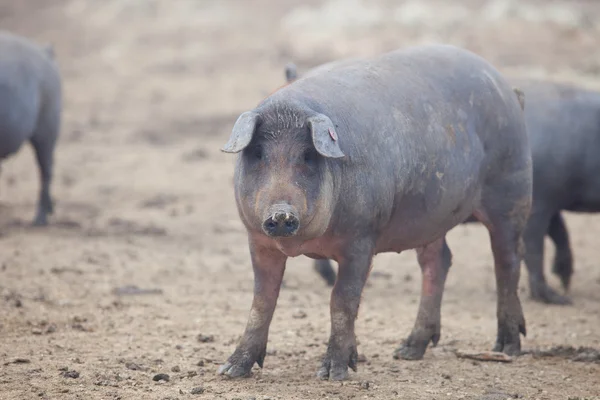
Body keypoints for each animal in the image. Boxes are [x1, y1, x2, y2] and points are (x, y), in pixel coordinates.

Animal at [218, 44, 532, 382]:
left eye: (307, 155)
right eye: (258, 153)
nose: (280, 214)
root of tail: (508, 90)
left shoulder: (362, 237)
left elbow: (342, 300)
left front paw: (333, 373)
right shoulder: (258, 240)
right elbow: (262, 301)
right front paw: (231, 370)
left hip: (512, 188)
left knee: (508, 260)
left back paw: (507, 347)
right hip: (431, 217)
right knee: (438, 261)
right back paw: (407, 350)